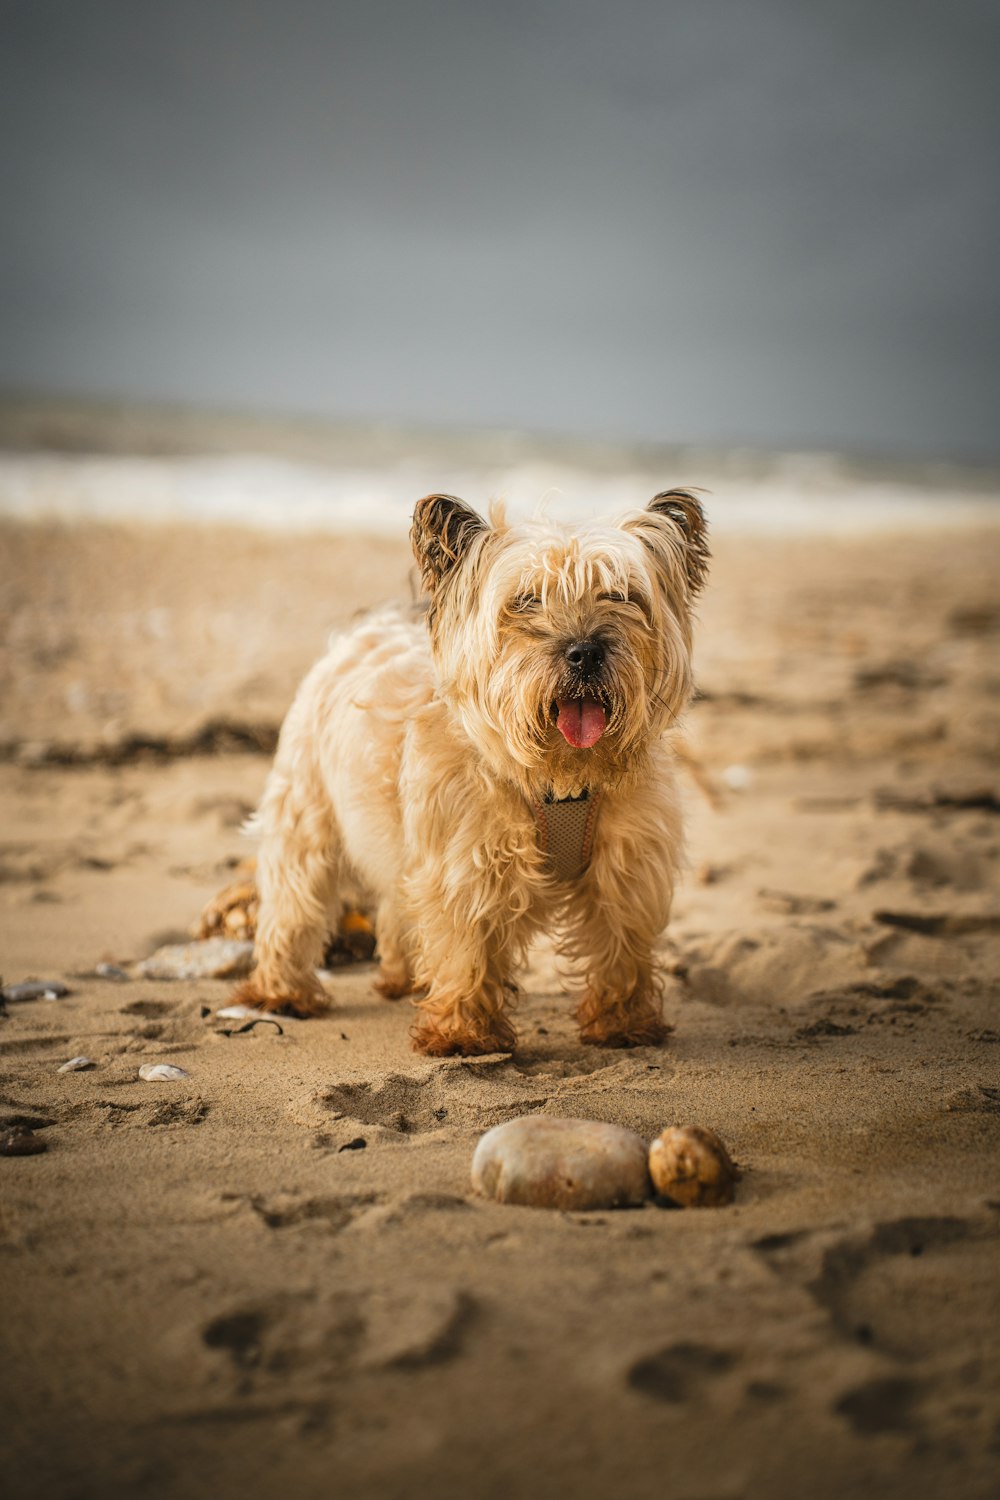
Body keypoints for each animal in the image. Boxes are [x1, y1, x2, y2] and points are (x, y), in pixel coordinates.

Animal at [232, 492, 707, 1056]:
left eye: (619, 594)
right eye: (526, 600)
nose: (585, 651)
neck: (559, 781)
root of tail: (369, 627)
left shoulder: (628, 868)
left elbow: (622, 946)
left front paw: (623, 1023)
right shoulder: (467, 867)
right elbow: (468, 949)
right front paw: (463, 1033)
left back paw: (401, 978)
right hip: (307, 817)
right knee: (293, 900)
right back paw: (283, 993)